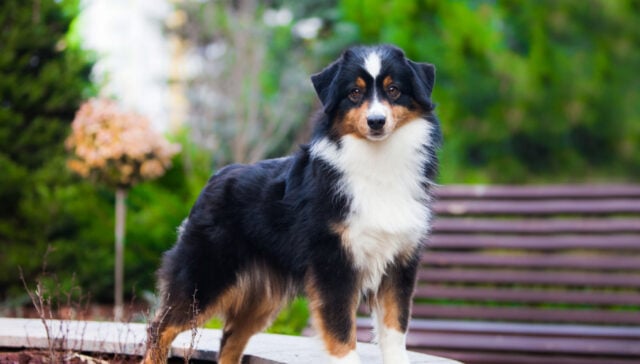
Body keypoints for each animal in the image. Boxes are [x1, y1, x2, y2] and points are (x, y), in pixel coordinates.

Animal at [141, 44, 440, 362]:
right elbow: (342, 334)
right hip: (205, 276)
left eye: (394, 90)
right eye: (354, 93)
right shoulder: (332, 265)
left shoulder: (400, 264)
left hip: (261, 299)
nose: (376, 122)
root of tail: (216, 176)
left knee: (231, 338)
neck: (377, 162)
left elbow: (395, 331)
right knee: (160, 328)